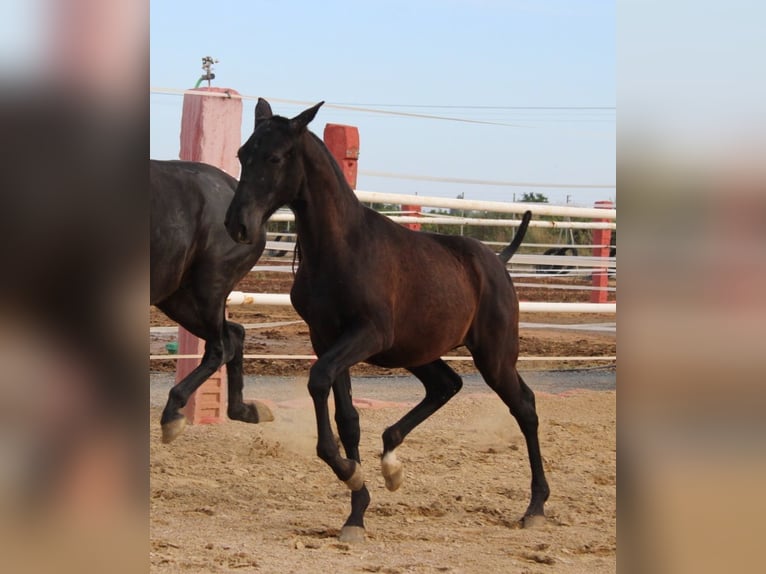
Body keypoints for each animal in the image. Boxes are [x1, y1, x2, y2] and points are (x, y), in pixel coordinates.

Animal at [152, 160, 274, 444]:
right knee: (234, 335)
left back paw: (172, 416)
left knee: (221, 346)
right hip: (177, 298)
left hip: (207, 288)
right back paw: (246, 410)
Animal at [224, 99, 552, 544]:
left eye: (275, 157)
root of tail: (497, 261)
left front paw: (349, 473)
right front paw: (356, 506)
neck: (342, 247)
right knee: (446, 385)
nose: (237, 224)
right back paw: (392, 465)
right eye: (243, 154)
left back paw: (535, 507)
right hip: (417, 352)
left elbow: (318, 381)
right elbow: (347, 419)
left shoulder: (367, 334)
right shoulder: (327, 338)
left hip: (495, 356)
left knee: (525, 407)